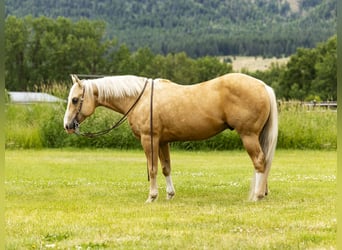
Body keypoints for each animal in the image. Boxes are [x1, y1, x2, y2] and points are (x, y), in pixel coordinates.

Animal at [63, 73, 278, 202]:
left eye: (74, 99)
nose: (67, 126)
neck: (140, 99)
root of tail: (264, 86)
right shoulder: (162, 141)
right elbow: (166, 168)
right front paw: (169, 194)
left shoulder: (149, 139)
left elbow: (152, 168)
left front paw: (152, 196)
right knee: (264, 161)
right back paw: (263, 192)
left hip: (248, 136)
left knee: (259, 161)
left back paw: (257, 195)